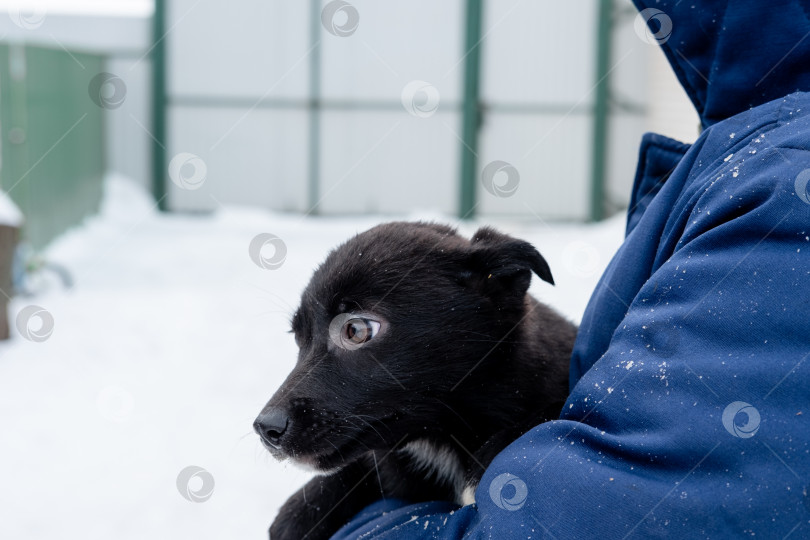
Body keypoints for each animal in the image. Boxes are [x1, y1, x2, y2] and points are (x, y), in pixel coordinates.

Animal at [252, 221, 576, 536]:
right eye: (298, 337)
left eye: (355, 330)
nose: (265, 429)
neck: (436, 439)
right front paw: (300, 511)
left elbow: (554, 410)